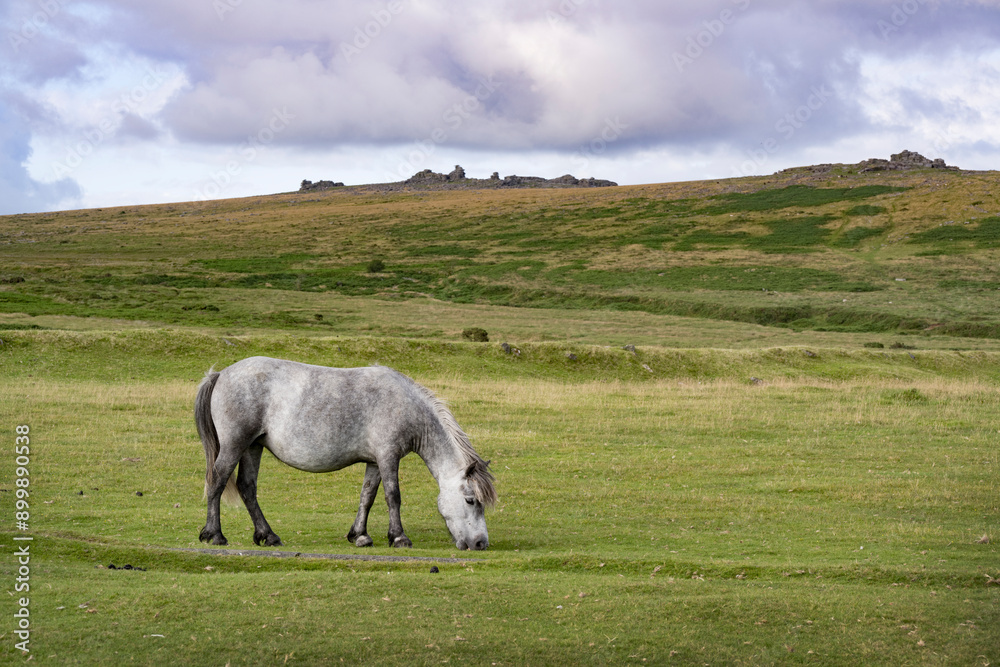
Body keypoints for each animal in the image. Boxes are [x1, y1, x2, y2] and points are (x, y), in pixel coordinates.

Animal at [194, 356, 496, 550]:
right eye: (470, 500)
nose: (481, 543)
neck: (406, 405)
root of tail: (220, 374)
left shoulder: (375, 461)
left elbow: (367, 497)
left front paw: (360, 536)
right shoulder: (388, 456)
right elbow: (393, 496)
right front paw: (399, 538)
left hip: (253, 447)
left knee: (247, 487)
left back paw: (268, 536)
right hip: (235, 445)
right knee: (218, 480)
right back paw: (215, 535)